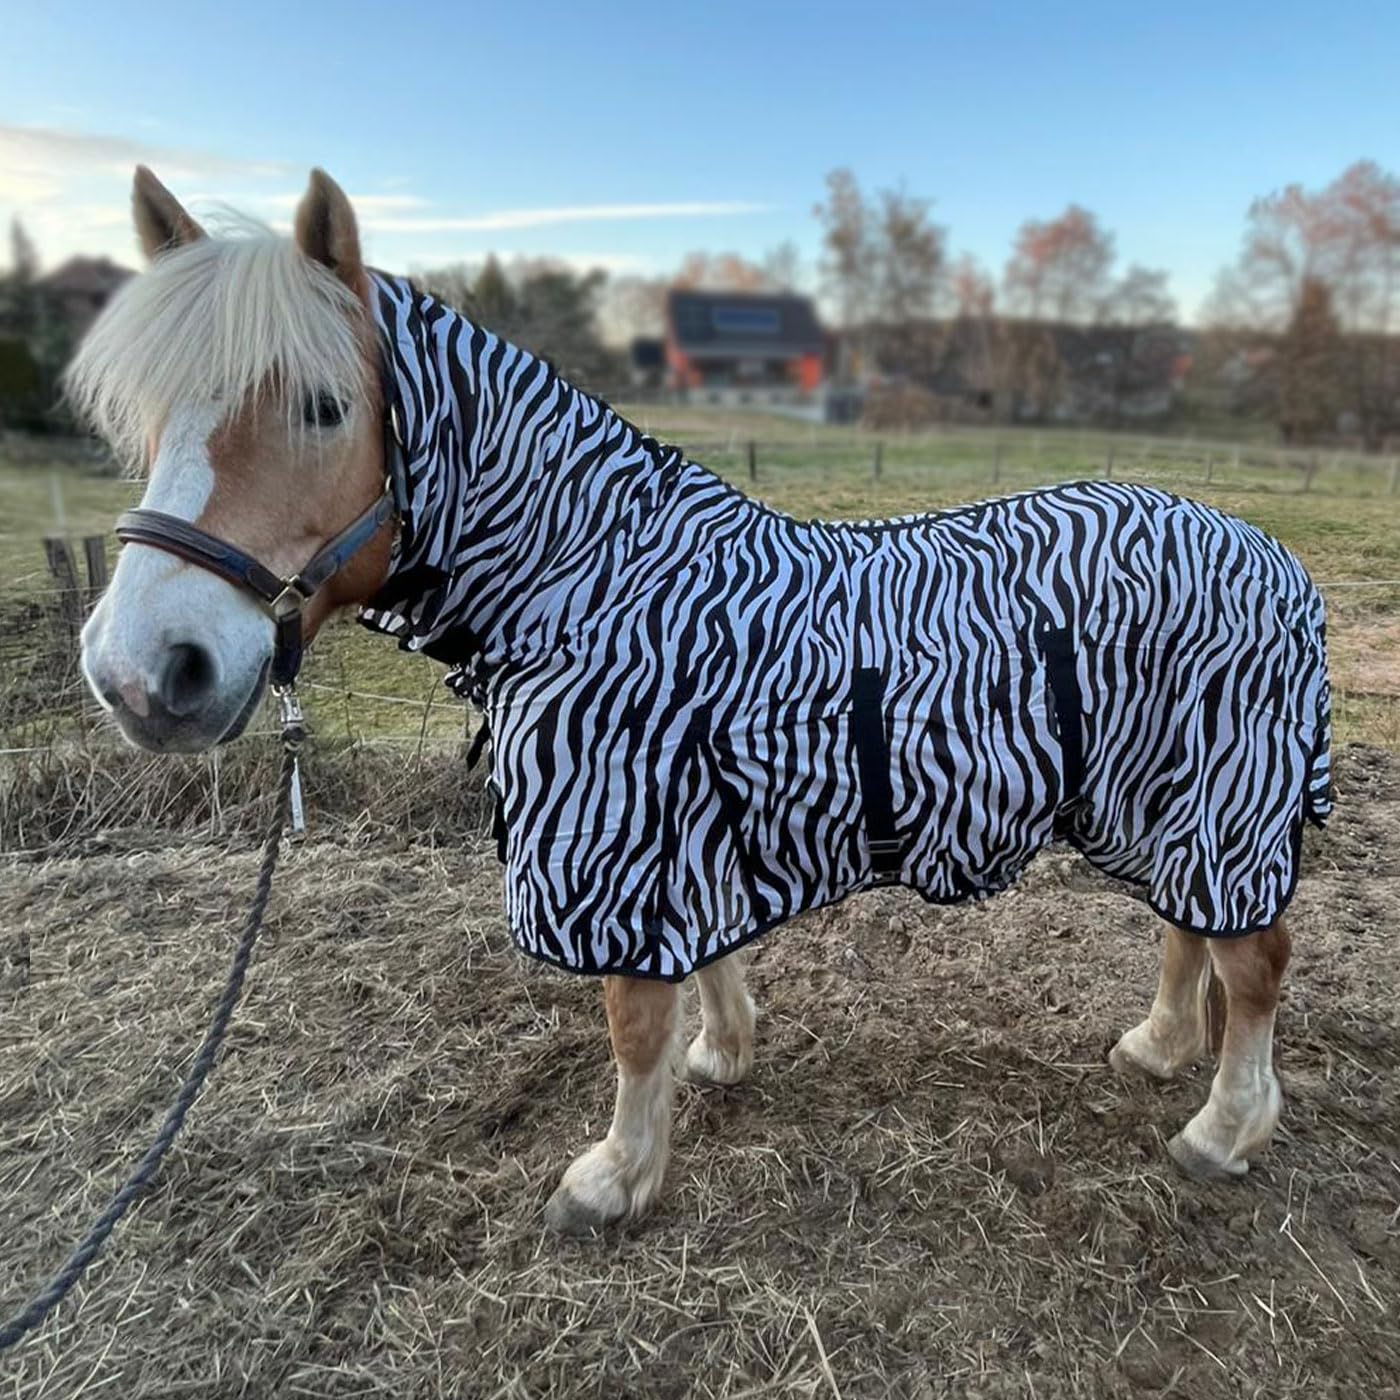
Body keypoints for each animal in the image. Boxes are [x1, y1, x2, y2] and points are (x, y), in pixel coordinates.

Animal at [71, 167, 1331, 1234]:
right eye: (146, 418)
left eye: (326, 407)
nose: (145, 669)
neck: (594, 580)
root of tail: (1275, 559)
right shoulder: (680, 829)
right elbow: (697, 968)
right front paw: (720, 1053)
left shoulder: (626, 832)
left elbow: (630, 1019)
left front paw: (615, 1174)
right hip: (1159, 798)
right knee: (1187, 924)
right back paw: (1158, 1045)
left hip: (1222, 795)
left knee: (1251, 962)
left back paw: (1222, 1127)